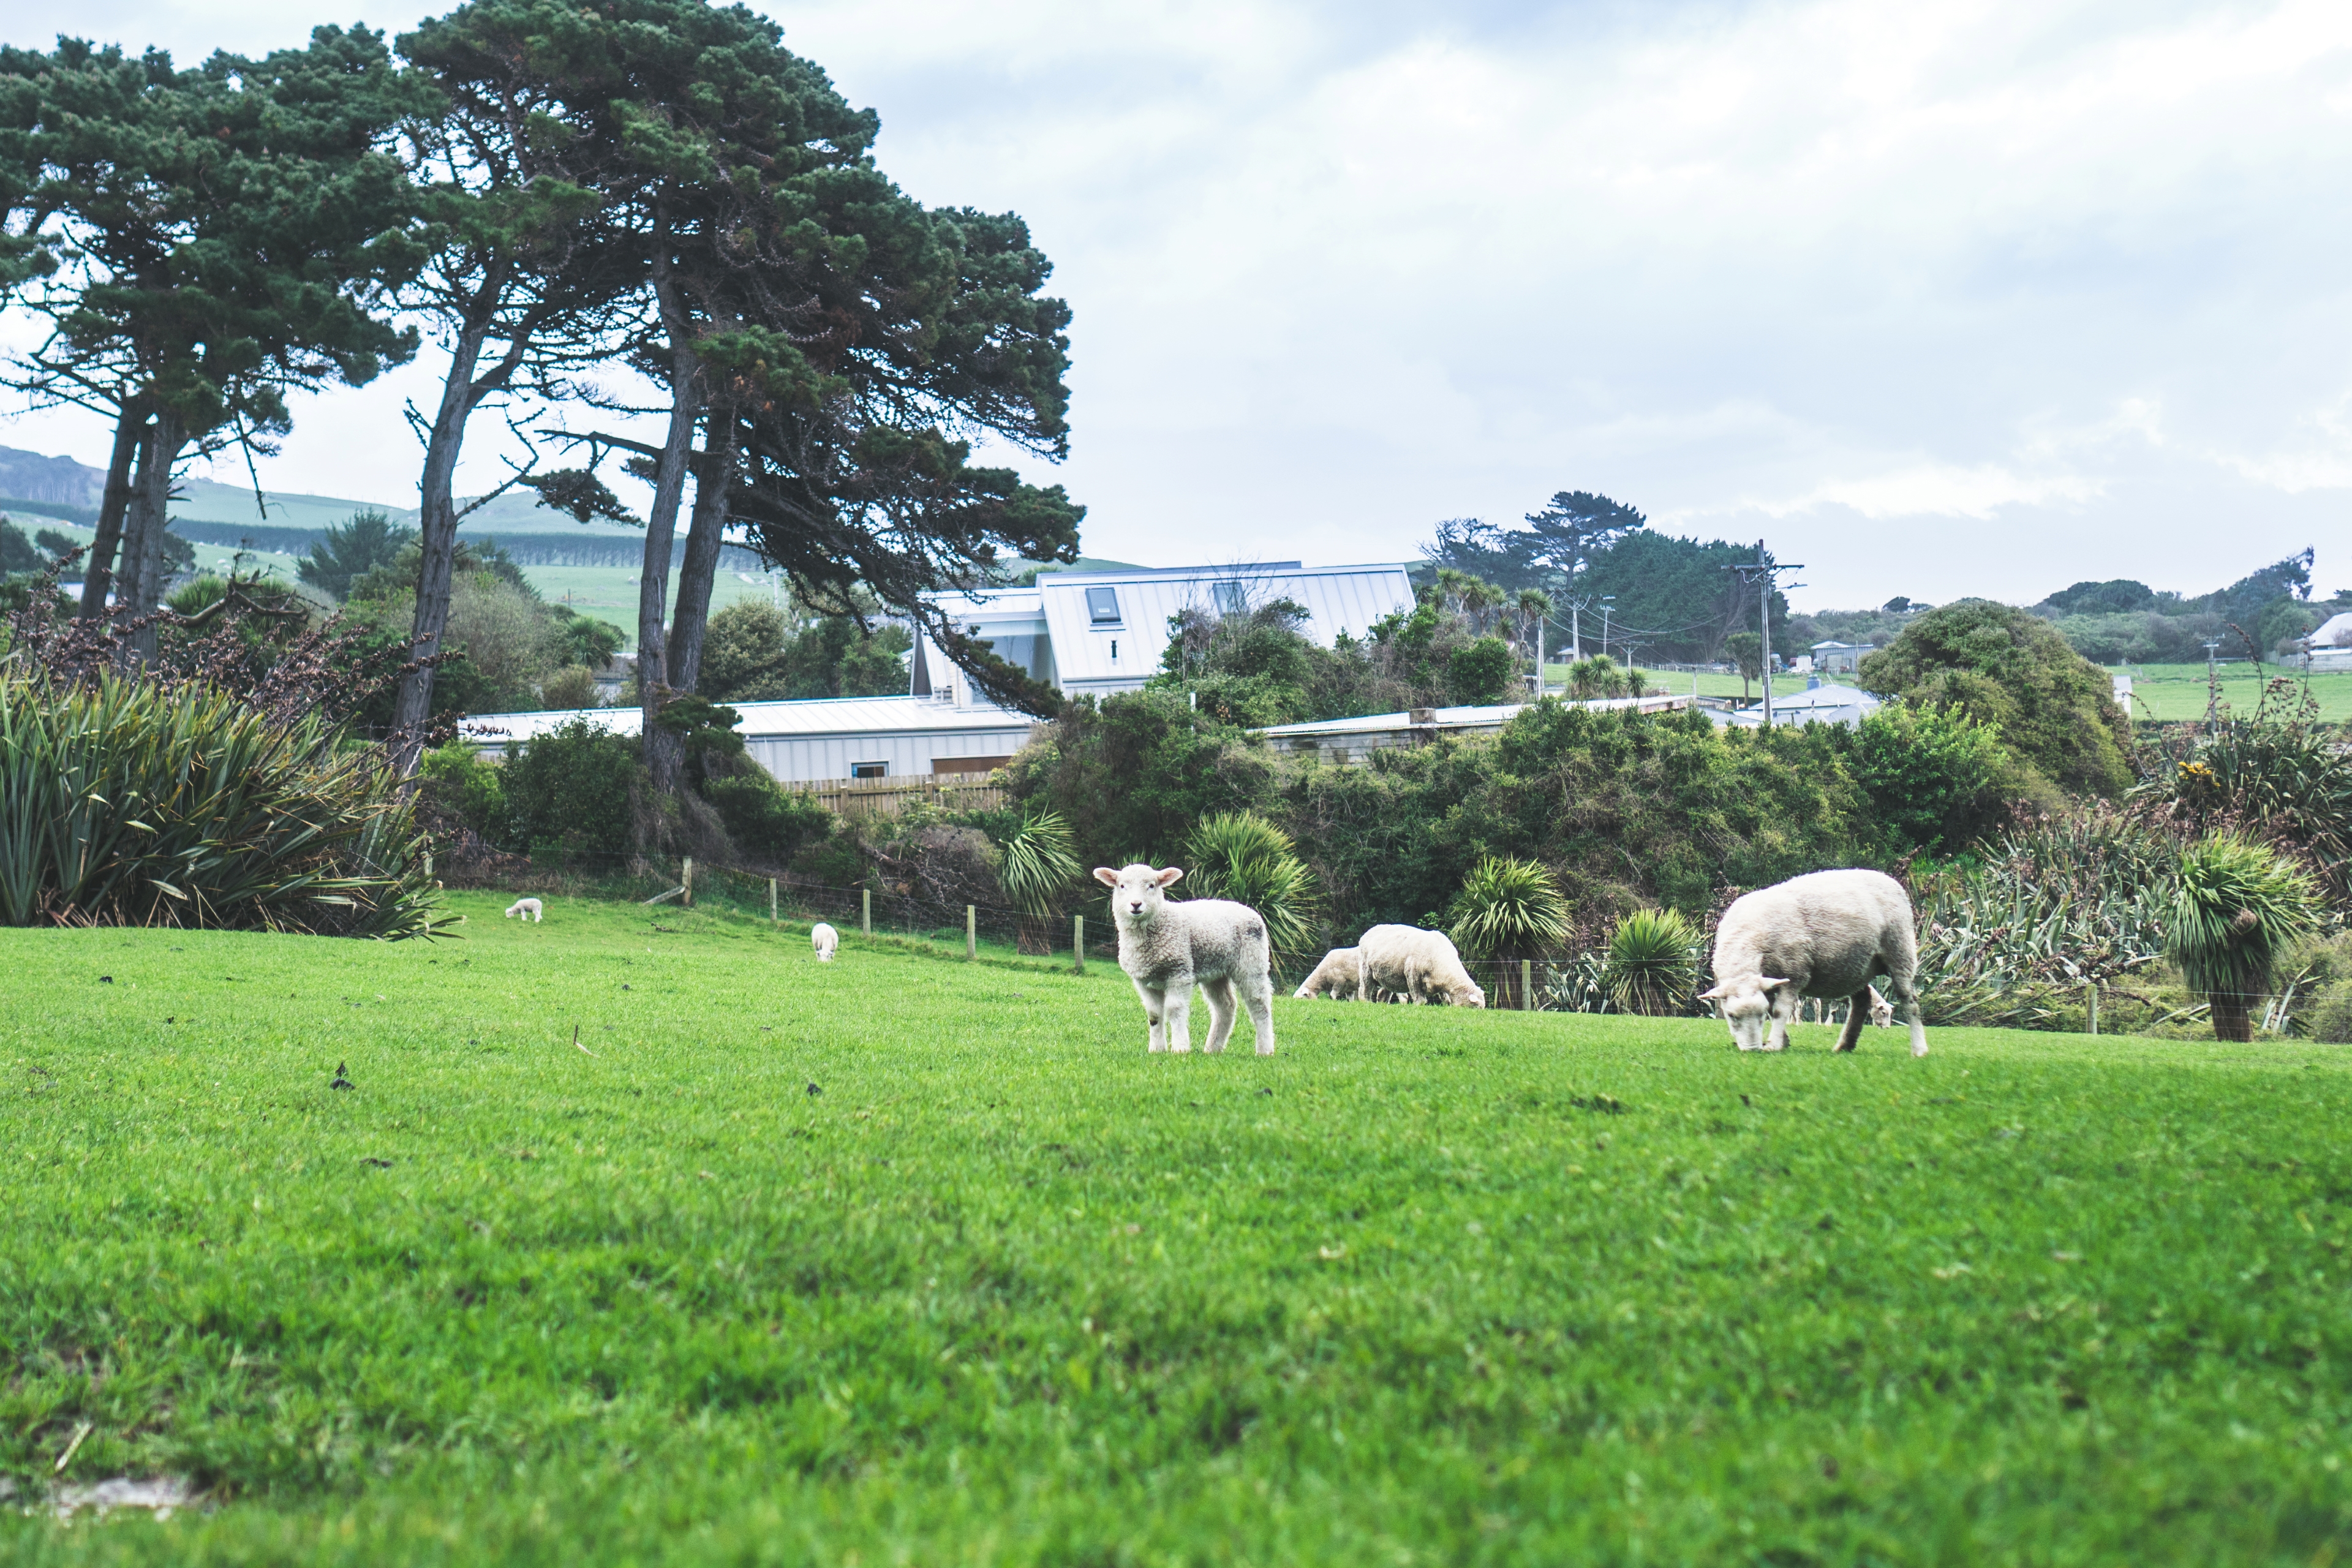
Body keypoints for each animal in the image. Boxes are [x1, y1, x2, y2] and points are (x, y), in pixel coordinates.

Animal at [1091, 870, 1279, 1053]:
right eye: (1122, 886)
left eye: (1152, 885)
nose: (1136, 904)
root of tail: (1248, 909)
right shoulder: (1143, 979)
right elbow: (1154, 1014)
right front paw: (1156, 1049)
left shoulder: (1179, 971)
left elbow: (1175, 1010)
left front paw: (1180, 1048)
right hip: (1216, 971)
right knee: (1226, 1005)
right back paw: (1213, 1048)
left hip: (1252, 963)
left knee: (1259, 1005)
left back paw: (1265, 1049)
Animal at [1354, 926, 1477, 1011]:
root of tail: (1368, 932)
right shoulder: (1413, 974)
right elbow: (1419, 996)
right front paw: (1419, 1006)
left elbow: (1445, 997)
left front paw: (1447, 1005)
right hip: (1366, 970)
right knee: (1364, 988)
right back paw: (1366, 1002)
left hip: (1387, 974)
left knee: (1383, 994)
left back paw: (1383, 1004)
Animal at [1712, 865, 1928, 1062]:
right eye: (1730, 1015)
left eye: (1761, 1014)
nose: (1751, 1050)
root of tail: (1889, 879)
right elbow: (1776, 1011)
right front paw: (1783, 1042)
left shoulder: (1795, 972)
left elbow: (1780, 1011)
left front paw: (1773, 1045)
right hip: (1855, 966)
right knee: (1862, 1001)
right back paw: (1844, 1045)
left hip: (1899, 950)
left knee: (1910, 1002)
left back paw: (1919, 1049)